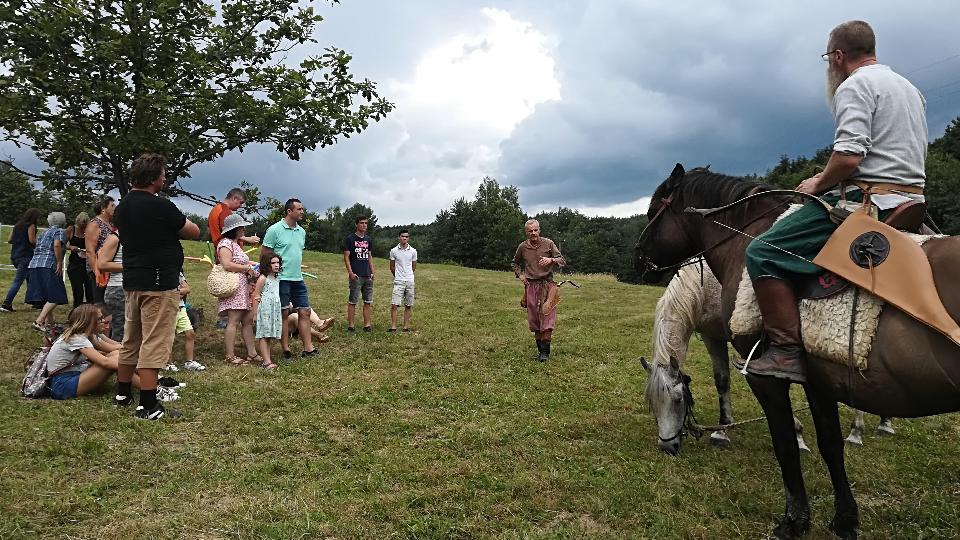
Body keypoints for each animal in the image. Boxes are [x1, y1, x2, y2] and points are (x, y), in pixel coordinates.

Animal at [636, 262, 808, 452]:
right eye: (652, 404)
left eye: (679, 399)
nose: (667, 447)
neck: (706, 286)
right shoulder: (712, 337)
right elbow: (722, 381)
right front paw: (721, 432)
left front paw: (797, 435)